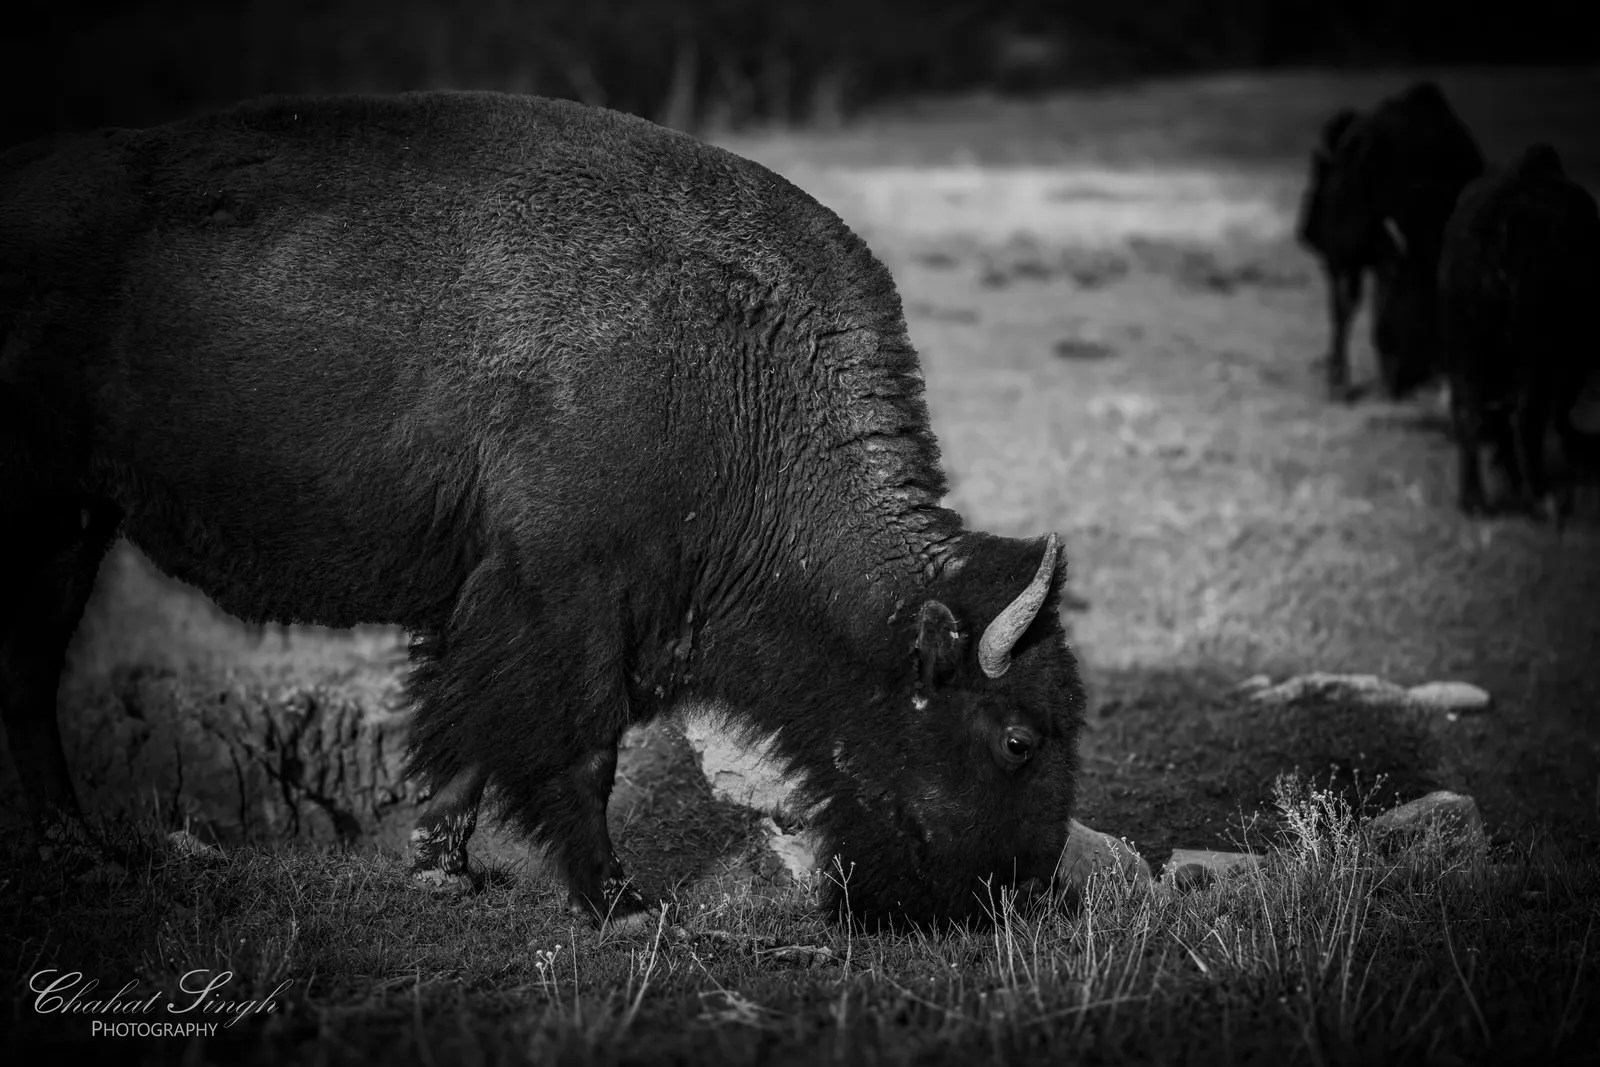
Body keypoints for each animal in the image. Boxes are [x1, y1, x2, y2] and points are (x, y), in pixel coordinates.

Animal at [0, 92, 1086, 928]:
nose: (1020, 897)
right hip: (50, 516)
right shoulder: (570, 595)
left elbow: (466, 739)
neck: (743, 372)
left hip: (75, 522)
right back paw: (76, 846)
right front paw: (619, 901)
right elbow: (578, 749)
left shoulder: (490, 603)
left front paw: (441, 865)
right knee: (30, 676)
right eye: (1017, 738)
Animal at [1437, 143, 1600, 520]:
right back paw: (1542, 495)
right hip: (1536, 355)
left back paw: (1475, 498)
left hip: (1465, 353)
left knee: (1470, 413)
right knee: (1528, 418)